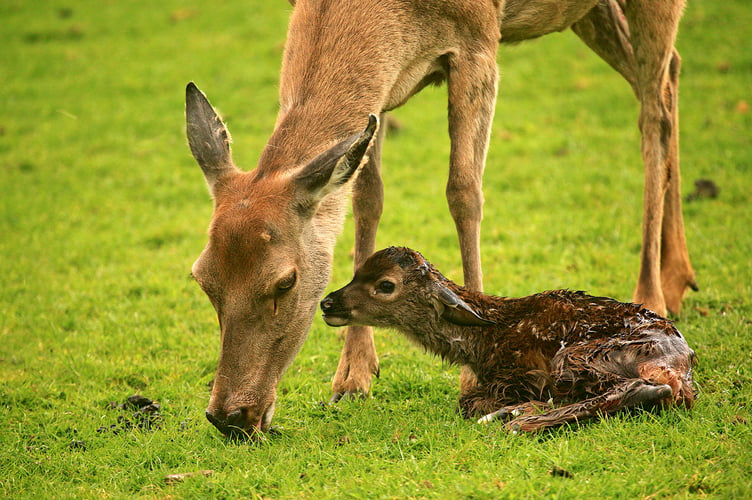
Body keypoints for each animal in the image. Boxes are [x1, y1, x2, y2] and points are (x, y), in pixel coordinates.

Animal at [320, 247, 696, 432]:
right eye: (355, 271)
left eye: (385, 284)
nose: (327, 303)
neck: (485, 339)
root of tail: (678, 366)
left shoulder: (521, 373)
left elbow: (467, 401)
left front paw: (500, 409)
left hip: (580, 355)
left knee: (639, 389)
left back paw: (515, 421)